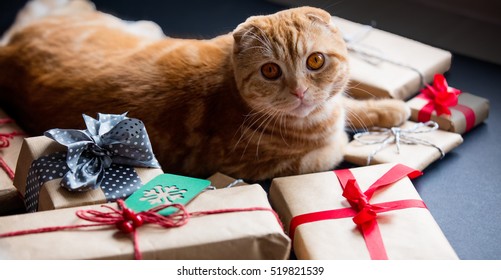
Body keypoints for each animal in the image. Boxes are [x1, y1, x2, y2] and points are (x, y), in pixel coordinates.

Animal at [0, 1, 408, 180]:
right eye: (270, 71)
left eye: (316, 62)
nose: (300, 93)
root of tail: (11, 51)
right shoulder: (270, 165)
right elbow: (333, 147)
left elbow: (350, 104)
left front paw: (390, 108)